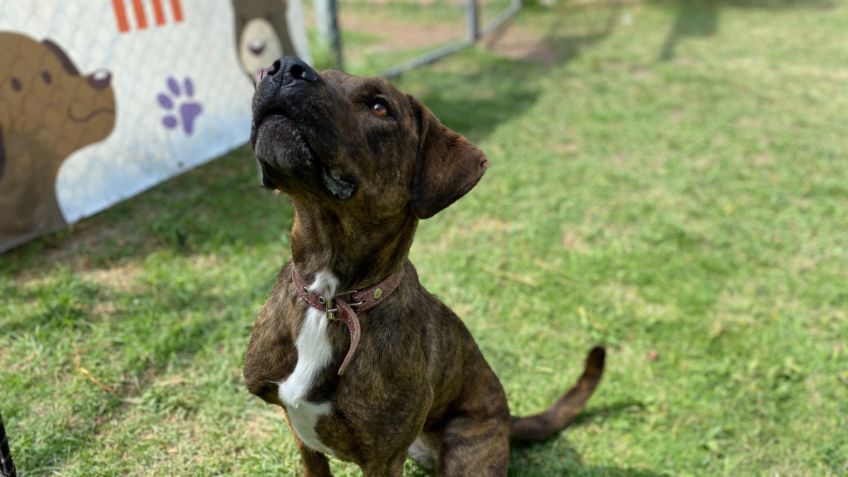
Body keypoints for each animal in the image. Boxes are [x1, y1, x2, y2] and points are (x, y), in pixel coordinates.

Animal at [242, 57, 608, 474]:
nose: (285, 67)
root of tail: (507, 419)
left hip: (464, 450)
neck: (332, 299)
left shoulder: (383, 459)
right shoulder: (303, 438)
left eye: (379, 107)